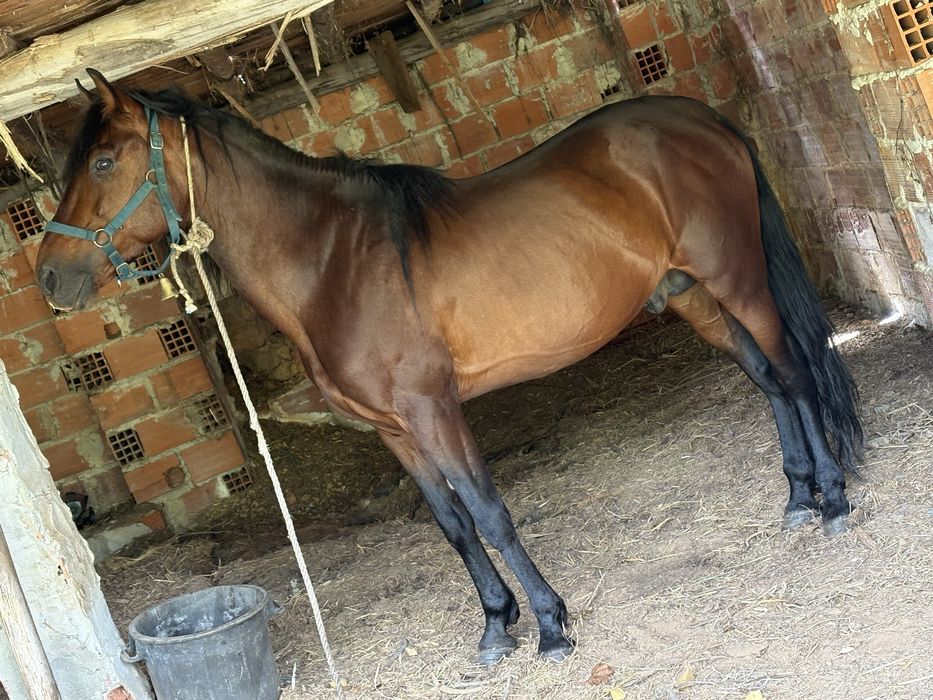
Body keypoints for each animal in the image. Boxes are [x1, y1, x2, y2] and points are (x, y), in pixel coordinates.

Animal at [36, 69, 863, 664]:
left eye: (102, 161)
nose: (49, 278)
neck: (332, 263)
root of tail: (701, 119)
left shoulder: (433, 407)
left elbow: (490, 513)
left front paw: (551, 626)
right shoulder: (393, 430)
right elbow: (453, 525)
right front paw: (496, 626)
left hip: (737, 279)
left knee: (792, 372)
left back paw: (829, 500)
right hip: (694, 296)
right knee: (765, 381)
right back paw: (794, 496)